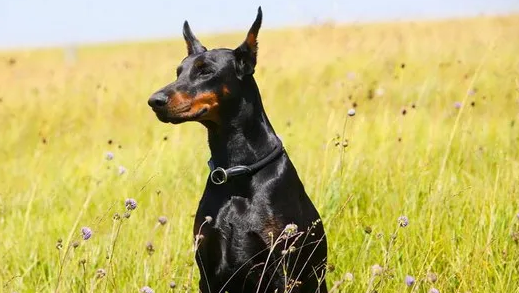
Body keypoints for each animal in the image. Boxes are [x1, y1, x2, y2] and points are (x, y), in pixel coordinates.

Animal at [146, 6, 328, 292]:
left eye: (206, 71)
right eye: (178, 72)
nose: (155, 101)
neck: (236, 171)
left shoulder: (282, 270)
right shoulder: (208, 270)